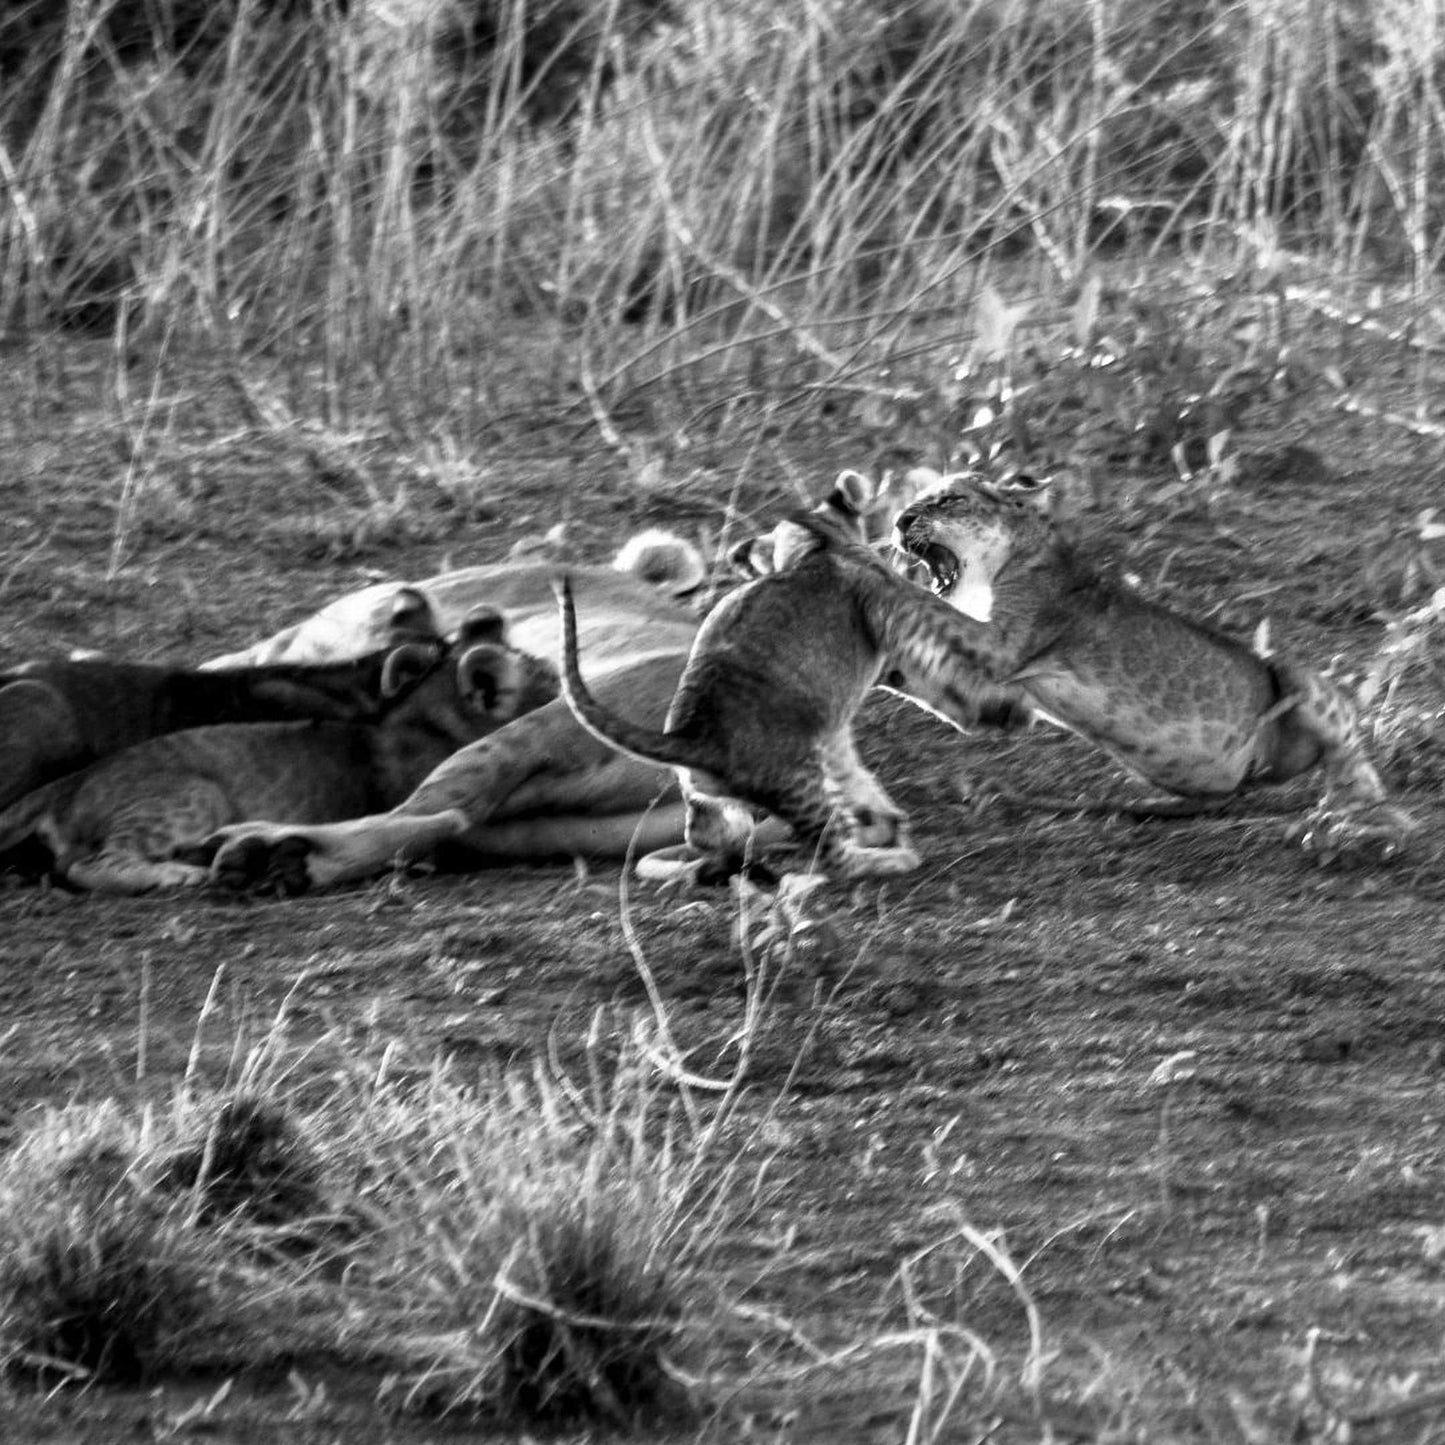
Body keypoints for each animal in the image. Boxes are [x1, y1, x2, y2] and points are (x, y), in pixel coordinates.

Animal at [892, 473, 1416, 860]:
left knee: (1357, 768)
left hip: (1294, 677)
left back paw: (1357, 821)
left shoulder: (1006, 645)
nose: (900, 521)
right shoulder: (995, 698)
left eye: (949, 500)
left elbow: (919, 603)